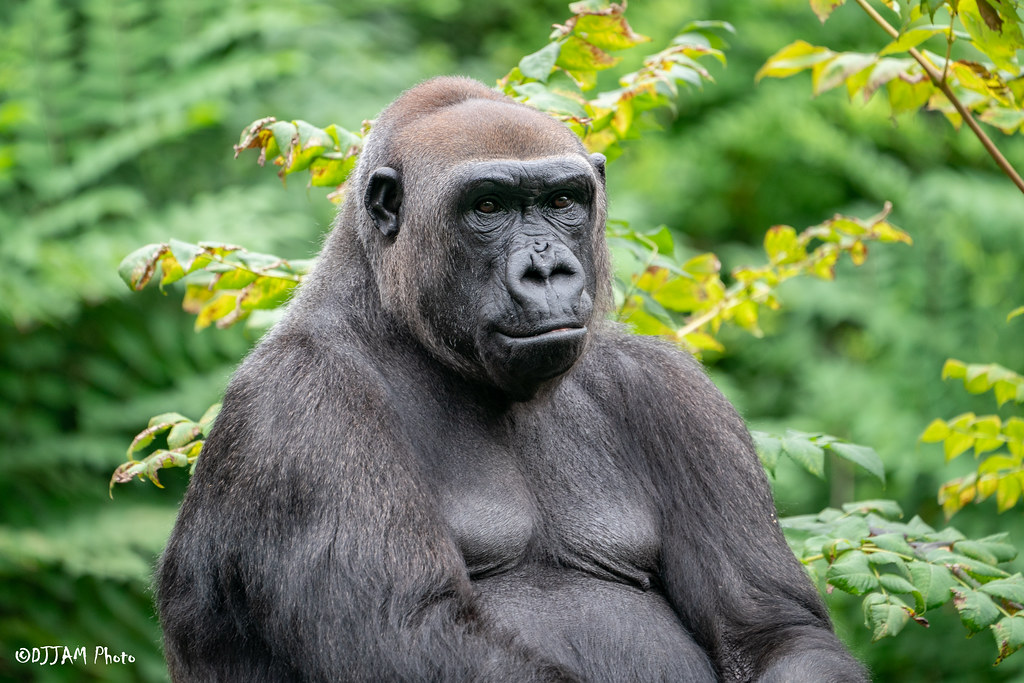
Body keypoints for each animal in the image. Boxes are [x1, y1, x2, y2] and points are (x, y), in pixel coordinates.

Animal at [155, 77, 868, 679]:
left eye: (562, 201)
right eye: (489, 206)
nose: (547, 272)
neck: (392, 318)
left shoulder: (675, 391)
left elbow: (774, 632)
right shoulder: (300, 403)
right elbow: (411, 629)